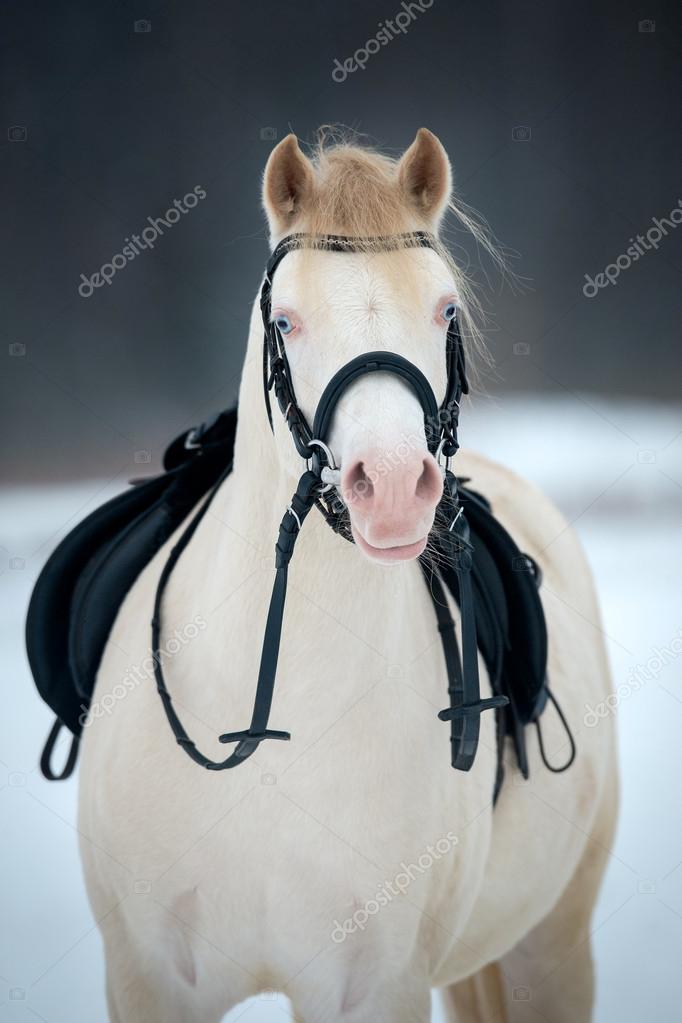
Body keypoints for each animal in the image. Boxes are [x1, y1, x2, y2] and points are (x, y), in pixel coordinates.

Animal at [77, 128, 618, 1022]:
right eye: (286, 320)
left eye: (445, 309)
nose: (394, 487)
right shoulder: (146, 979)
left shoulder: (377, 985)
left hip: (552, 947)